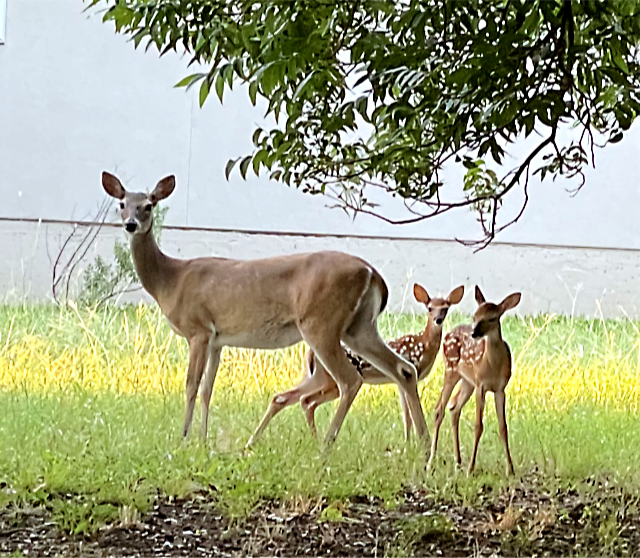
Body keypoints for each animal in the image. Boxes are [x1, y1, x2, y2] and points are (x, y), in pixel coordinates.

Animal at [102, 173, 428, 448]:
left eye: (148, 205)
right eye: (122, 204)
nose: (130, 224)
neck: (171, 279)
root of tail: (372, 273)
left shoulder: (198, 329)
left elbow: (191, 385)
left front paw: (183, 439)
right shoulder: (216, 339)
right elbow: (208, 388)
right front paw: (203, 441)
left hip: (320, 321)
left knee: (350, 380)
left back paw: (326, 447)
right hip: (358, 326)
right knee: (404, 369)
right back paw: (424, 446)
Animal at [246, 284, 464, 446]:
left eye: (446, 308)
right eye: (429, 308)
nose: (438, 319)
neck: (424, 344)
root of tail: (310, 354)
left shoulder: (402, 381)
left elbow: (406, 413)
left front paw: (407, 443)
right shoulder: (410, 372)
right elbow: (408, 414)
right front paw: (410, 445)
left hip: (315, 378)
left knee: (290, 398)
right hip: (327, 380)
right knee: (304, 400)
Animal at [424, 288, 520, 476]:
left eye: (492, 318)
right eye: (475, 316)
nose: (474, 333)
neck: (493, 365)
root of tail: (447, 334)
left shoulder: (500, 388)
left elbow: (503, 427)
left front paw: (510, 469)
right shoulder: (481, 385)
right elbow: (478, 426)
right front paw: (471, 469)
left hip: (467, 382)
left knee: (454, 407)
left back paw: (458, 461)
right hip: (451, 369)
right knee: (440, 409)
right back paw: (431, 462)